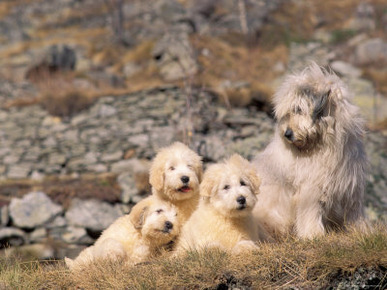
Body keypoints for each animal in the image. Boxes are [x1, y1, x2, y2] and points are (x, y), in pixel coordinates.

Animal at [253, 62, 368, 238]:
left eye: (299, 109)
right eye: (289, 112)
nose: (287, 134)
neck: (325, 146)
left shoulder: (350, 183)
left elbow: (354, 211)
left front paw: (361, 230)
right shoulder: (311, 187)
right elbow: (311, 211)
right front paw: (313, 234)